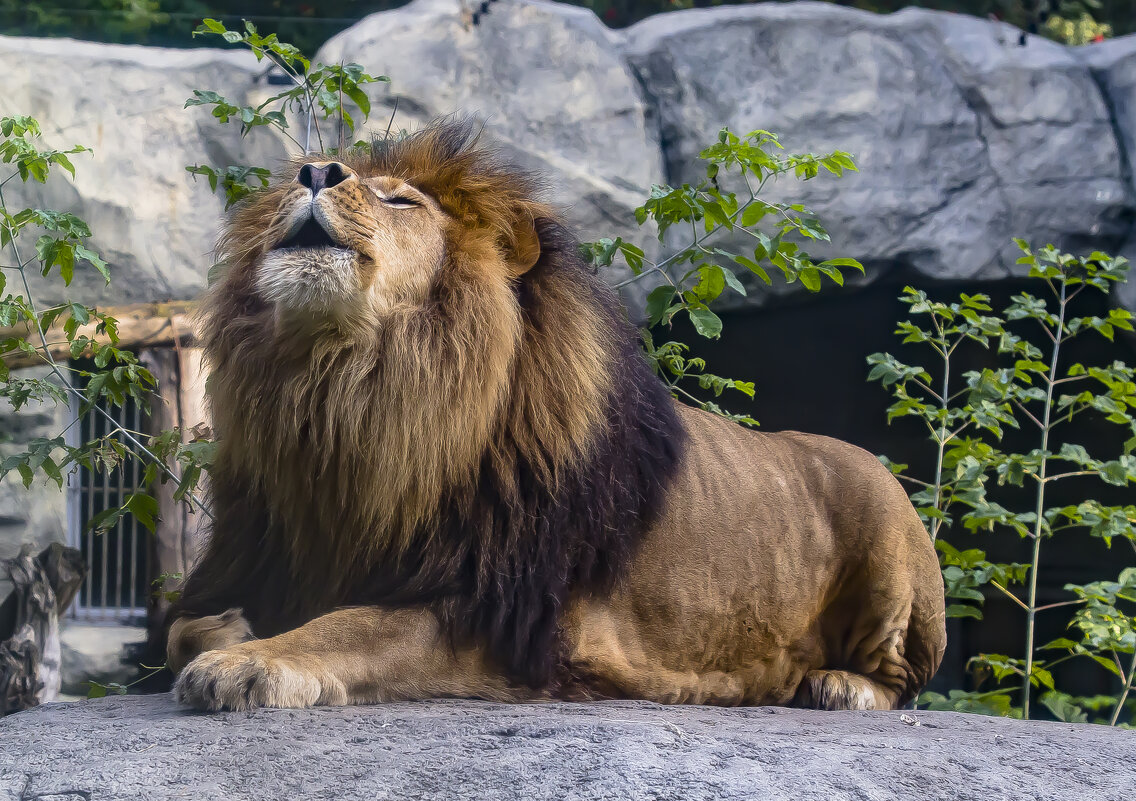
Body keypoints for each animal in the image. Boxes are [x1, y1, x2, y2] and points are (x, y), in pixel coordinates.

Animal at [168, 115, 945, 708]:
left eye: (402, 202)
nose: (313, 172)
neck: (346, 390)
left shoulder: (505, 616)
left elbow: (351, 626)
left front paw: (251, 662)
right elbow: (186, 627)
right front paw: (236, 631)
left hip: (885, 524)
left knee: (902, 680)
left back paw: (838, 685)